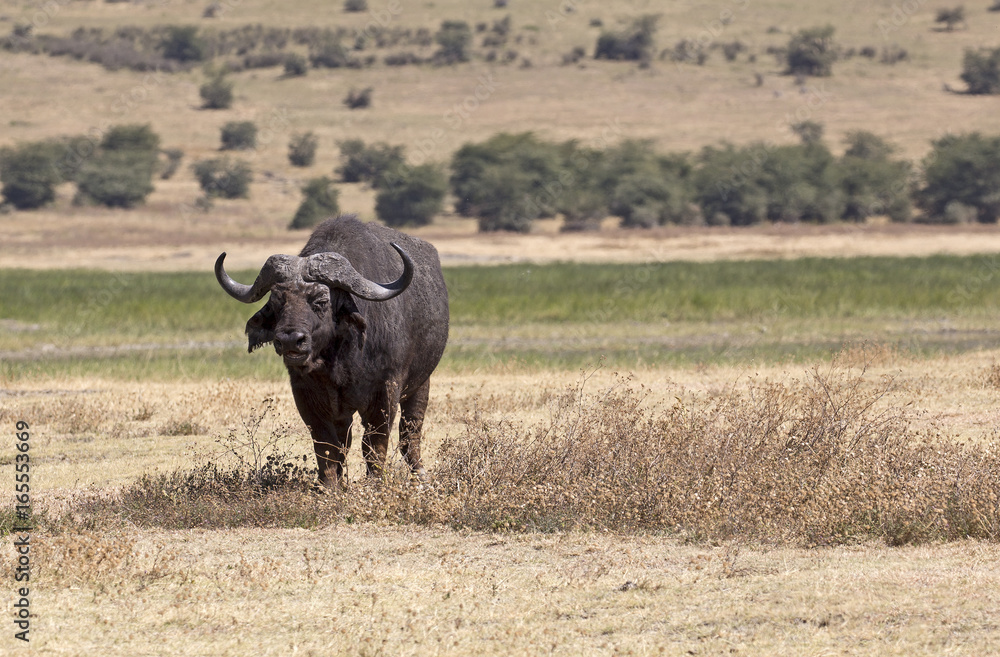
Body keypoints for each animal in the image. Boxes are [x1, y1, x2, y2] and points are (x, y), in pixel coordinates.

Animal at [215, 214, 449, 487]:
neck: (342, 360)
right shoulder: (307, 395)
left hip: (421, 383)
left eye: (321, 301)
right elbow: (326, 444)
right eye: (276, 301)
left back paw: (419, 474)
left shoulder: (386, 390)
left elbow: (375, 442)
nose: (290, 340)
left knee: (410, 432)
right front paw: (329, 484)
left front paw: (375, 482)